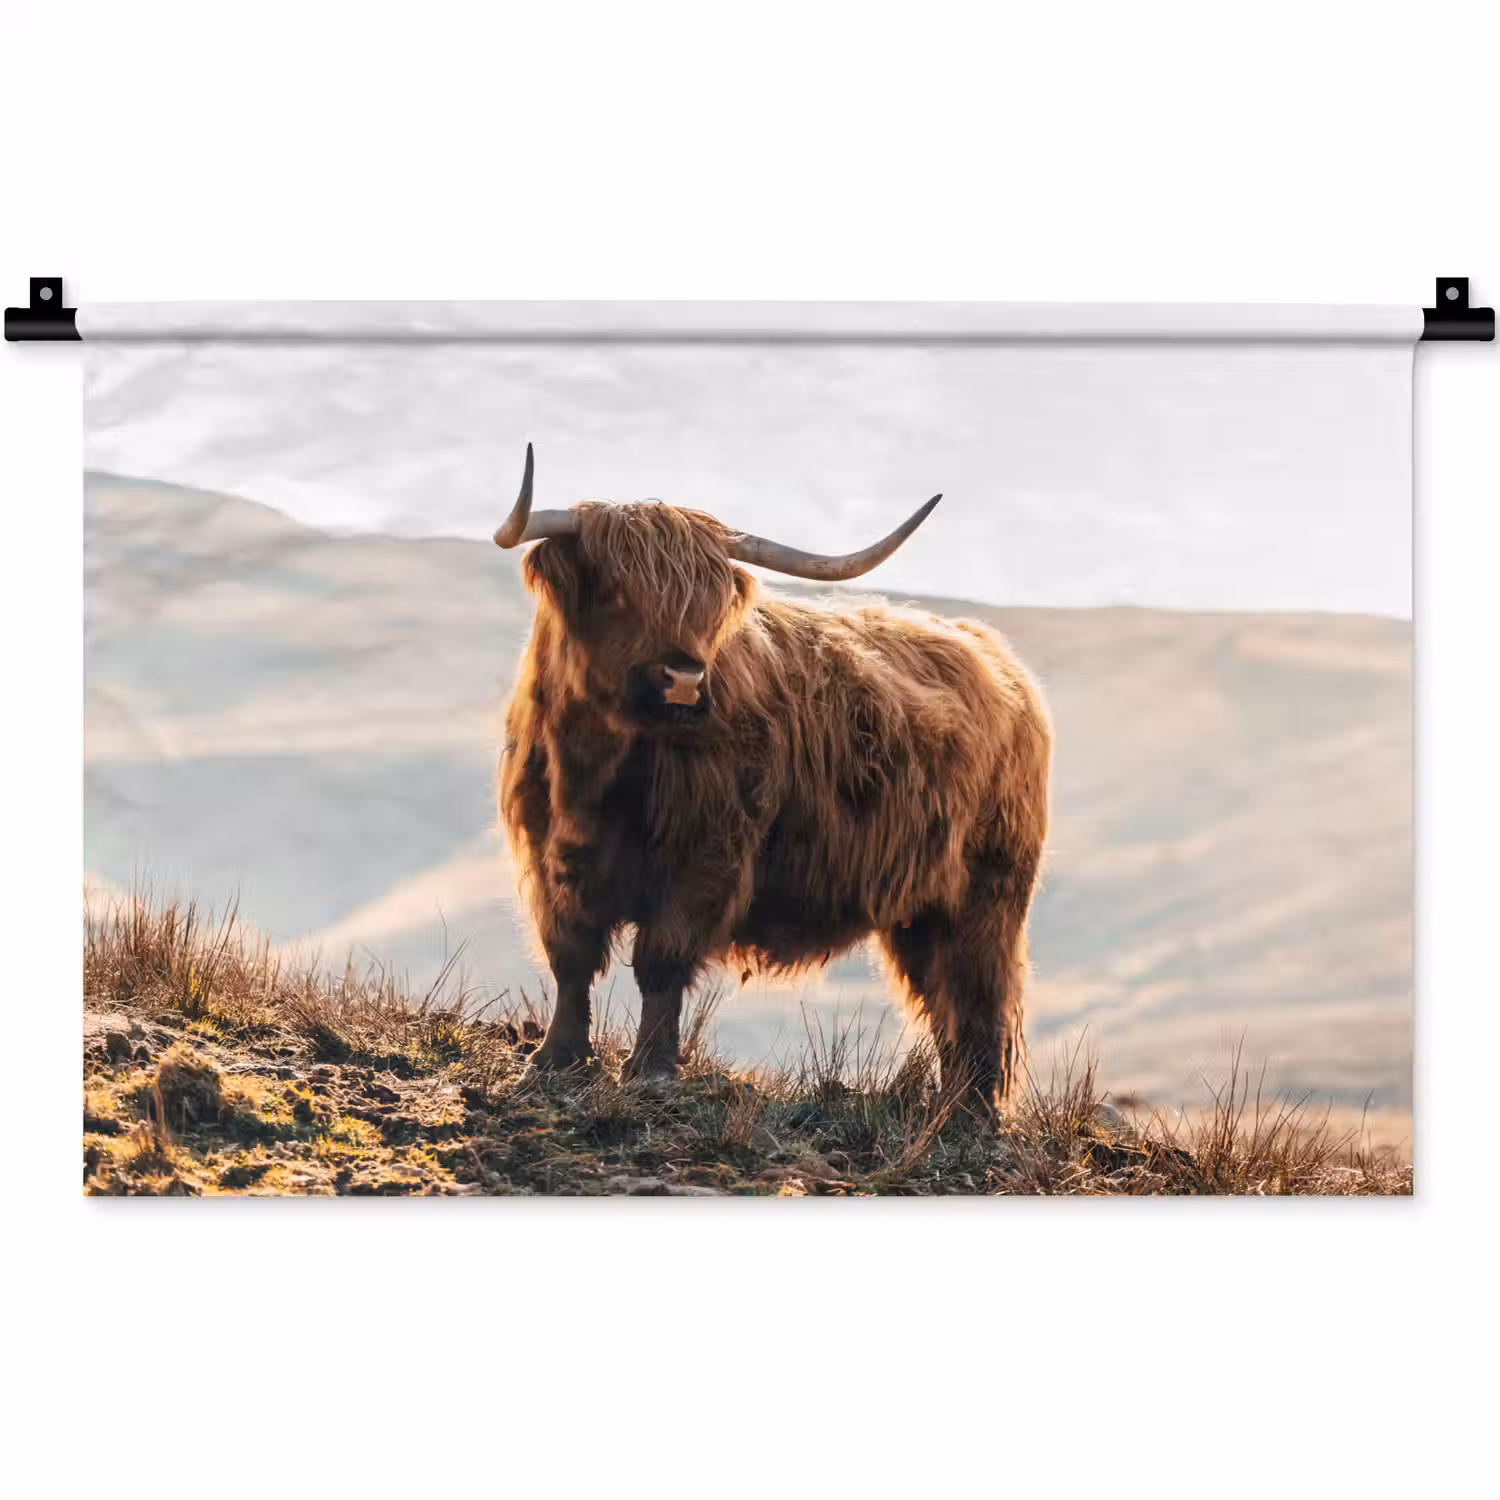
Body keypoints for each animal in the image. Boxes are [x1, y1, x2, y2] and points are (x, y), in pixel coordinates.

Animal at [495, 445, 1051, 1115]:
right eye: (616, 592)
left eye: (708, 604)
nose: (684, 678)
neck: (597, 771)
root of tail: (997, 658)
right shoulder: (549, 856)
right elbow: (571, 957)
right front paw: (554, 1061)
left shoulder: (705, 858)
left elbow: (661, 961)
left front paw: (651, 1071)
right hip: (921, 909)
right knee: (942, 998)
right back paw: (948, 1109)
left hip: (987, 894)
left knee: (976, 997)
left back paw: (970, 1116)